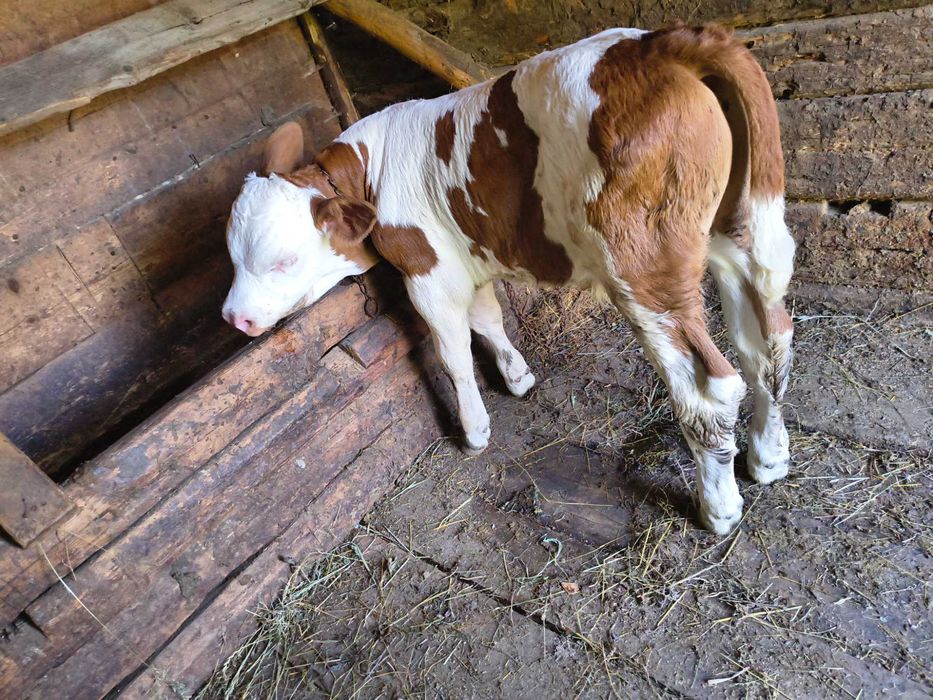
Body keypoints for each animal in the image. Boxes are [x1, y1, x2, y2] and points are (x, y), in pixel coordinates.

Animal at [221, 24, 795, 535]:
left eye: (282, 260)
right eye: (233, 255)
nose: (234, 317)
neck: (371, 168)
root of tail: (660, 43)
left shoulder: (426, 271)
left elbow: (452, 351)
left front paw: (474, 429)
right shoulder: (465, 258)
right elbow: (488, 318)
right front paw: (518, 377)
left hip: (644, 266)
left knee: (710, 386)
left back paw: (719, 507)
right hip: (732, 231)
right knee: (769, 340)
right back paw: (768, 458)